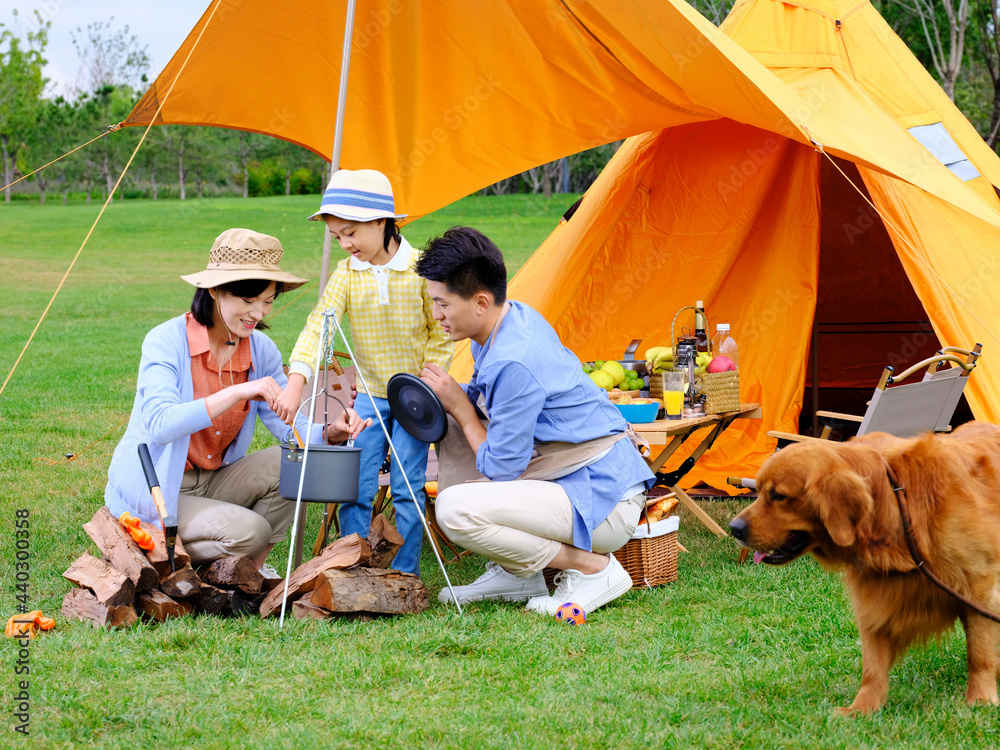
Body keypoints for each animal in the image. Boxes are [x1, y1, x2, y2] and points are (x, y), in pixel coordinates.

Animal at [728, 424, 1000, 716]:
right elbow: (872, 664)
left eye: (778, 496)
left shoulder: (979, 588)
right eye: (758, 490)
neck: (897, 506)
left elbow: (979, 654)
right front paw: (862, 708)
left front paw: (981, 700)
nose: (734, 529)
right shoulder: (873, 596)